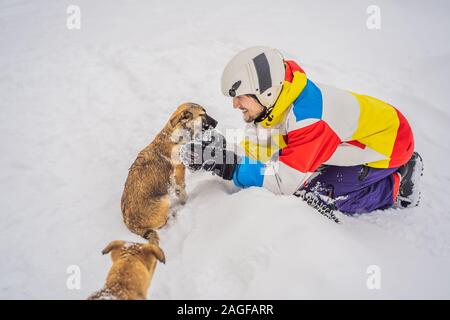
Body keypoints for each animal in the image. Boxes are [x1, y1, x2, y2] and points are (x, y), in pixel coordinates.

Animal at [121, 101, 216, 239]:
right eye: (202, 114)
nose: (217, 122)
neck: (176, 135)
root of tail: (130, 224)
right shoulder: (179, 176)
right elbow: (183, 194)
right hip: (164, 200)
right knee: (162, 224)